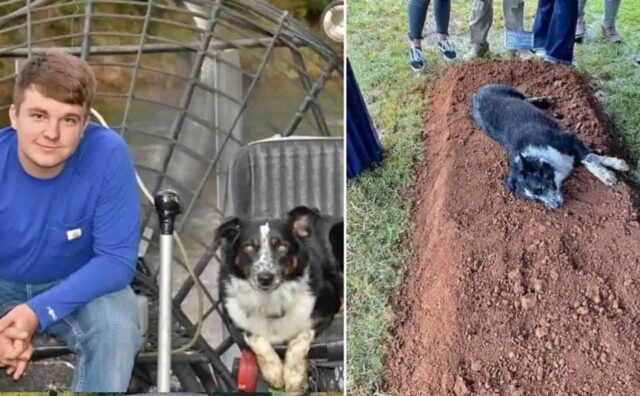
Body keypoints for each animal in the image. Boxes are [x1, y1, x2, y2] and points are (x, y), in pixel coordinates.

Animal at [215, 206, 344, 392]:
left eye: (282, 246)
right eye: (249, 247)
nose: (265, 278)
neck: (271, 300)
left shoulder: (327, 307)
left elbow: (299, 339)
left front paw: (293, 376)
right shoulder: (233, 320)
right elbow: (256, 338)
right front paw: (273, 372)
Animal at [470, 82, 632, 209]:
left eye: (540, 188)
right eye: (536, 200)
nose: (556, 207)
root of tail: (476, 94)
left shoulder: (569, 139)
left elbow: (589, 159)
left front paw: (610, 173)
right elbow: (590, 156)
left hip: (510, 90)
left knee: (525, 97)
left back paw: (544, 100)